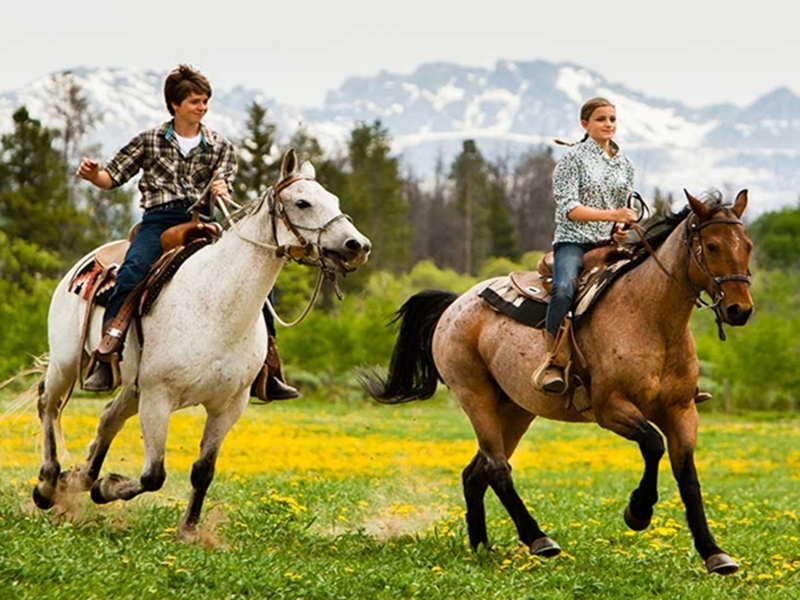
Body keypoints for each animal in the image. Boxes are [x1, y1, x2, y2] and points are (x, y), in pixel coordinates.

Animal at [33, 149, 372, 540]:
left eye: (334, 200)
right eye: (303, 202)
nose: (358, 246)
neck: (216, 304)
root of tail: (89, 261)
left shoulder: (228, 405)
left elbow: (203, 471)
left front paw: (189, 531)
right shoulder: (158, 397)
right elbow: (154, 475)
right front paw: (107, 487)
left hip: (131, 388)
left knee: (107, 419)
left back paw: (77, 479)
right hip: (66, 362)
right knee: (48, 405)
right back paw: (48, 485)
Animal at [366, 190, 752, 576]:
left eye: (747, 245)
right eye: (712, 246)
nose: (740, 310)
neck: (650, 319)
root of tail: (455, 305)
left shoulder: (682, 411)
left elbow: (687, 477)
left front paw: (714, 552)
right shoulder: (610, 408)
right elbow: (653, 444)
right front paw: (638, 512)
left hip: (515, 410)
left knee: (475, 473)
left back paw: (481, 547)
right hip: (476, 397)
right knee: (497, 468)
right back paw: (538, 539)